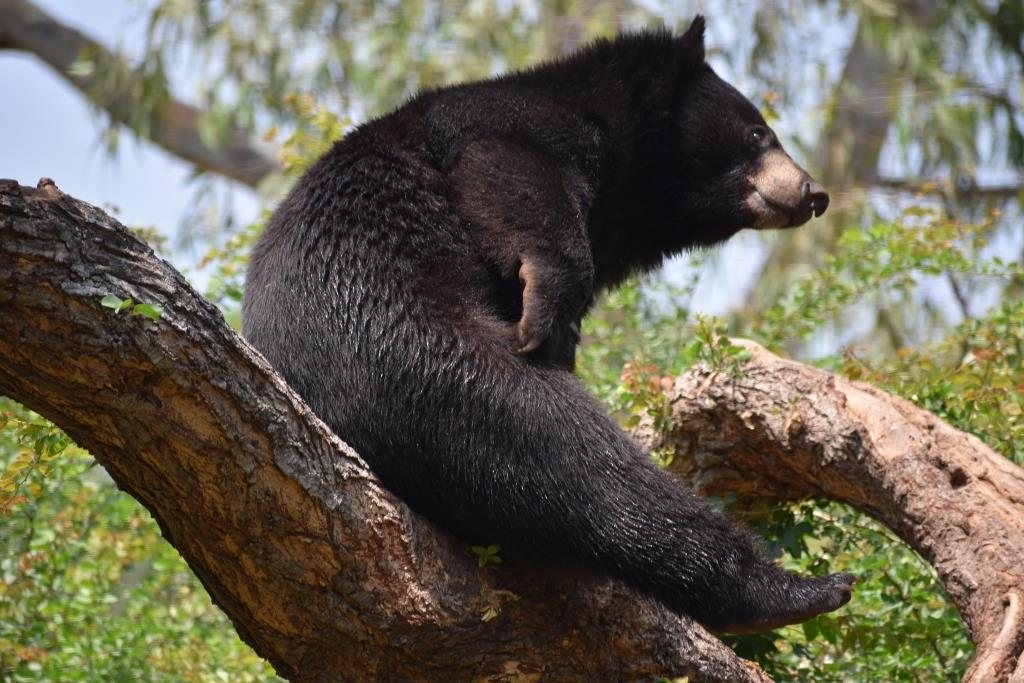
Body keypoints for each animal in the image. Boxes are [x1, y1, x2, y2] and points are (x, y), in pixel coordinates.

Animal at [242, 15, 852, 634]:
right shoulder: (516, 124)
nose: (814, 193)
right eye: (757, 133)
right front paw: (542, 307)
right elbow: (506, 170)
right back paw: (794, 589)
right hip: (406, 350)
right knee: (561, 447)